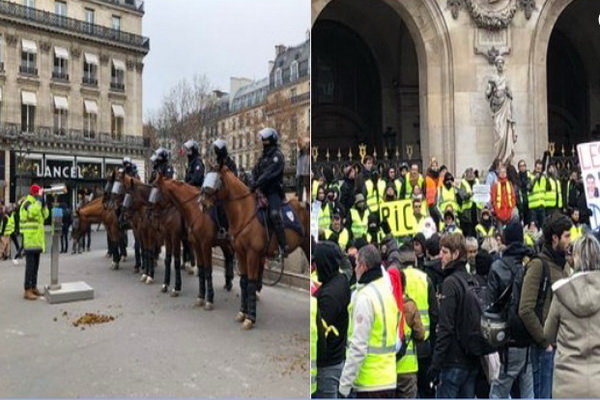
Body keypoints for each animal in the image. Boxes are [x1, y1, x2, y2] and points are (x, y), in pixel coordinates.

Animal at [154, 173, 236, 310]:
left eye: (156, 189)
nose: (150, 212)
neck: (196, 211)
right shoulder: (174, 238)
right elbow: (169, 260)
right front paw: (166, 285)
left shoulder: (200, 244)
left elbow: (204, 268)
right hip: (223, 243)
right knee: (229, 255)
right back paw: (228, 283)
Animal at [199, 165, 310, 328]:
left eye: (216, 180)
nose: (202, 203)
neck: (244, 212)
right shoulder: (241, 253)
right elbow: (244, 282)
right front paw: (242, 312)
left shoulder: (252, 254)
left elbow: (251, 283)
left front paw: (250, 318)